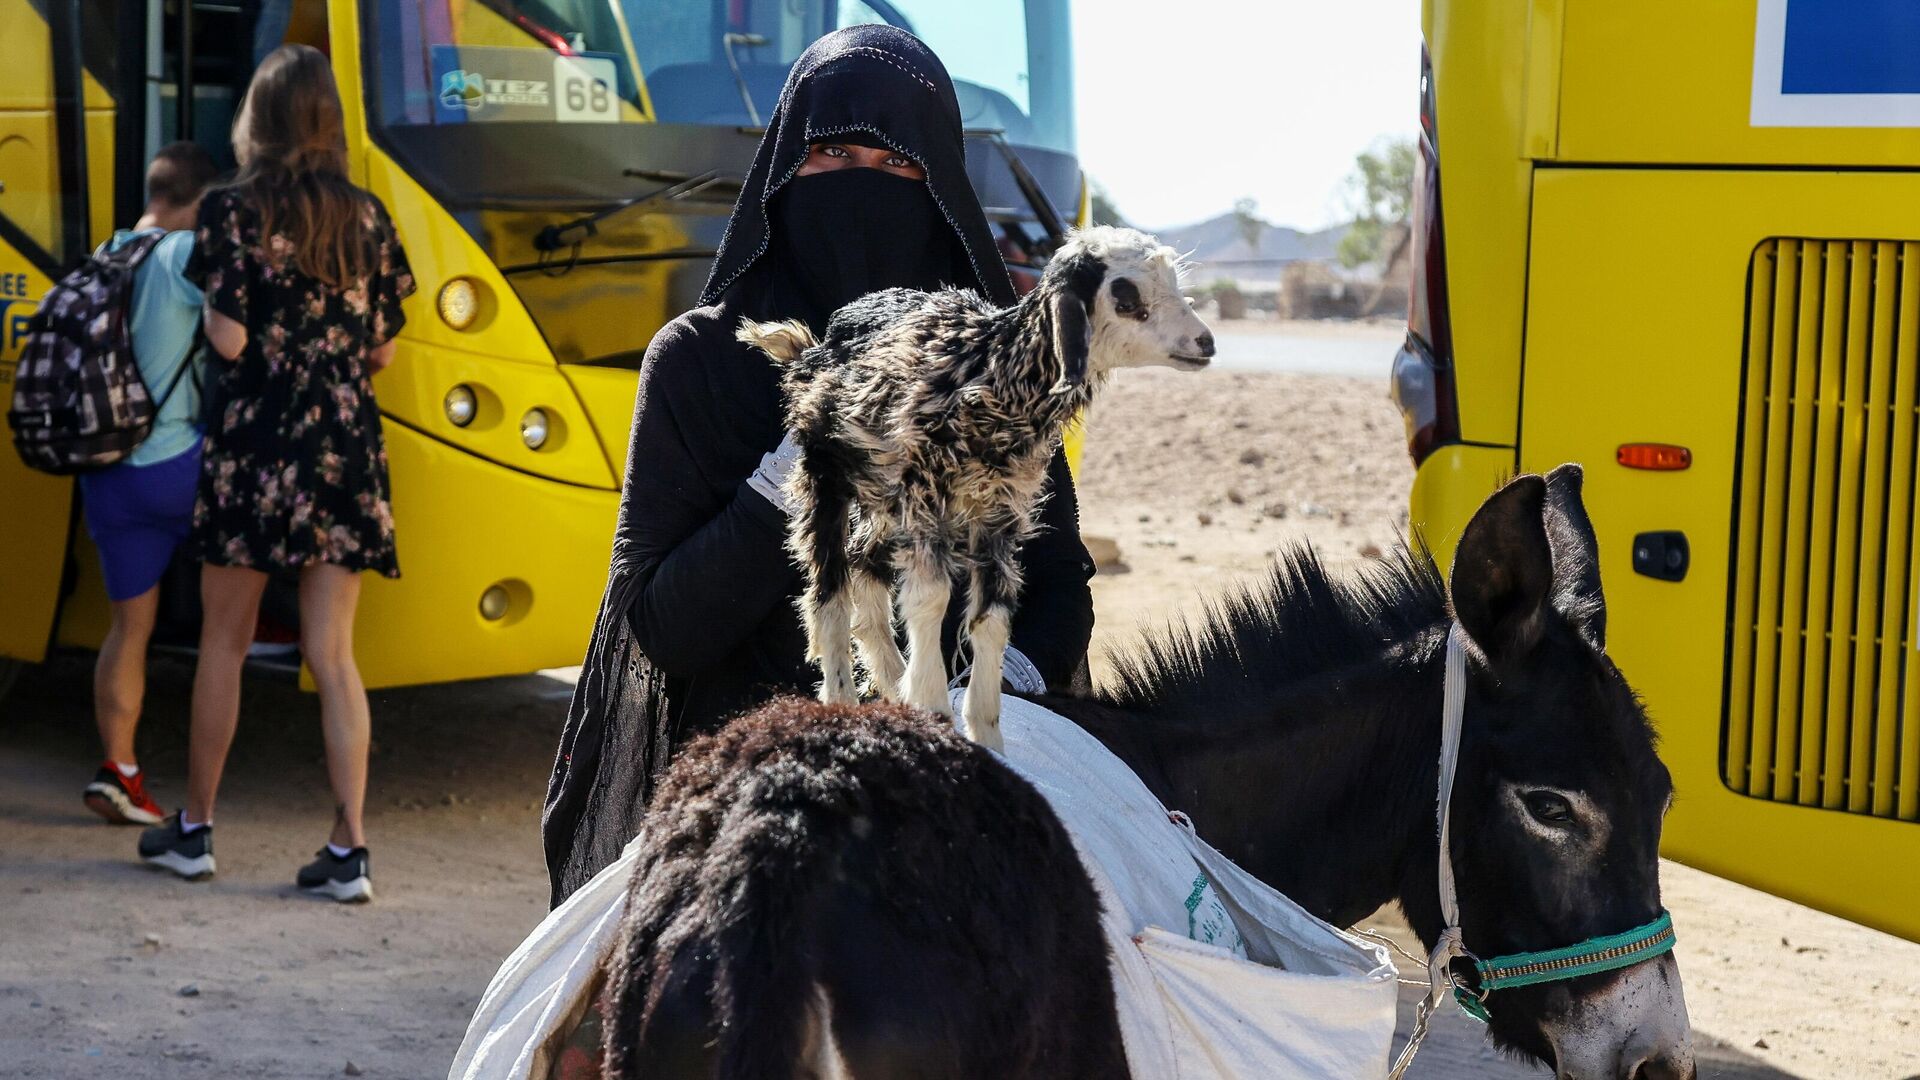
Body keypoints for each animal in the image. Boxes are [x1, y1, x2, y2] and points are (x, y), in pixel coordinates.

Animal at [737, 226, 1205, 749]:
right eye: (1126, 296)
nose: (1205, 342)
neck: (985, 372)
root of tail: (815, 348)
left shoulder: (998, 512)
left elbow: (994, 620)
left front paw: (984, 735)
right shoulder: (924, 498)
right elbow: (930, 599)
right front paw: (933, 708)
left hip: (881, 499)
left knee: (864, 574)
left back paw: (891, 682)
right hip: (825, 476)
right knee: (829, 596)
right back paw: (843, 699)